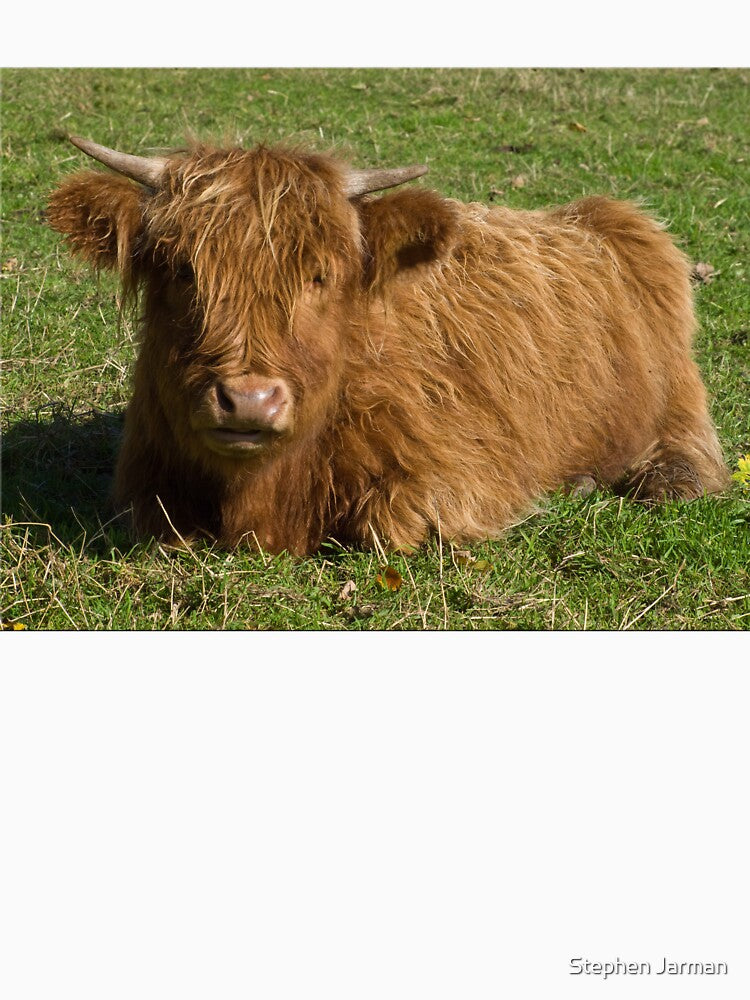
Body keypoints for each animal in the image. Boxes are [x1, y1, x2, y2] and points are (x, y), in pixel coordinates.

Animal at [47, 135, 729, 555]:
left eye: (320, 275)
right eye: (180, 270)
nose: (248, 401)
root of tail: (597, 217)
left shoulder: (461, 477)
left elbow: (391, 525)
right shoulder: (144, 483)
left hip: (677, 402)